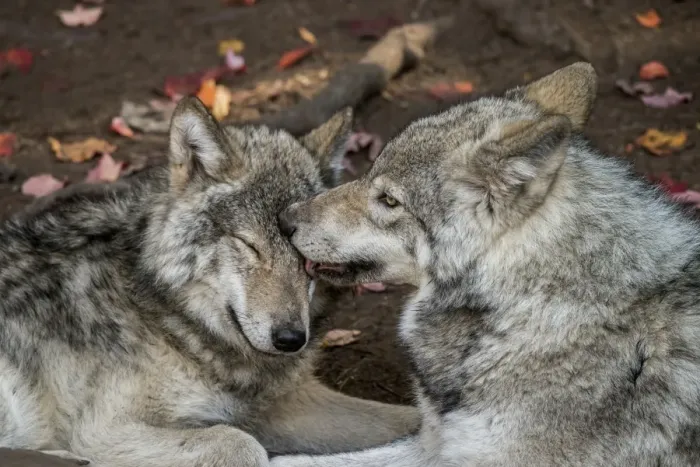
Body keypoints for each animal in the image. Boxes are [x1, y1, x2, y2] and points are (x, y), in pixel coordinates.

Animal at [0, 96, 419, 467]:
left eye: (304, 254)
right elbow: (241, 444)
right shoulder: (102, 430)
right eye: (249, 244)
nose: (290, 339)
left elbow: (410, 418)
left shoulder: (285, 404)